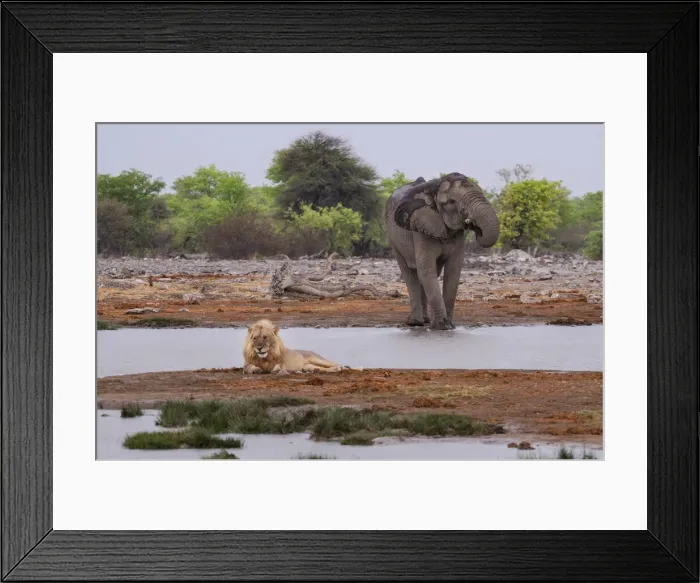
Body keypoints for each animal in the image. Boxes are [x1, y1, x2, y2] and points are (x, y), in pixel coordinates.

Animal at [385, 172, 500, 330]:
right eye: (451, 202)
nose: (475, 226)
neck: (434, 189)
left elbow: (453, 271)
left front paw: (449, 325)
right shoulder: (421, 228)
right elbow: (426, 271)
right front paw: (443, 326)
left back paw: (427, 321)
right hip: (393, 239)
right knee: (410, 273)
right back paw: (415, 322)